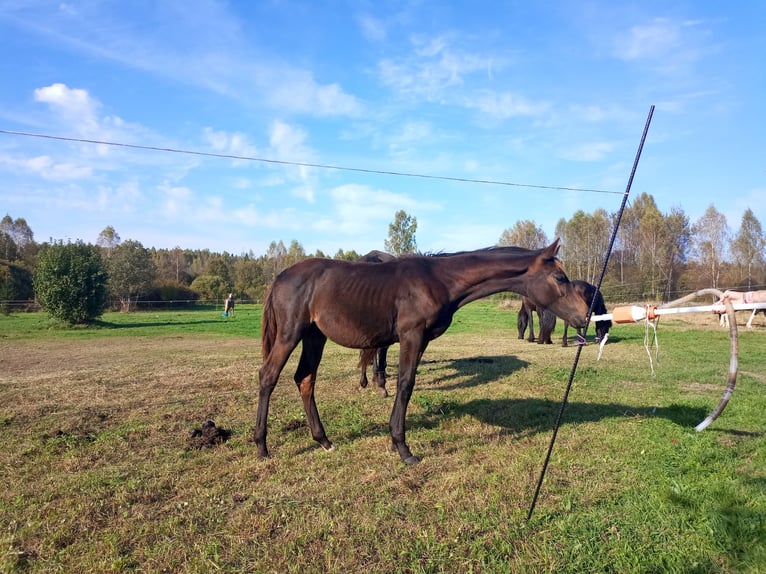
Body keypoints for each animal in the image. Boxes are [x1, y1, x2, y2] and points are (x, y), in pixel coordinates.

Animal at [255, 241, 592, 466]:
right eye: (559, 278)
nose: (584, 317)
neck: (438, 280)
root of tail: (280, 277)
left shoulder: (423, 340)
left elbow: (407, 383)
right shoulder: (411, 336)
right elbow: (405, 385)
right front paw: (403, 449)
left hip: (315, 336)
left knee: (305, 379)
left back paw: (324, 440)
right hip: (290, 334)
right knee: (268, 376)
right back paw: (262, 448)